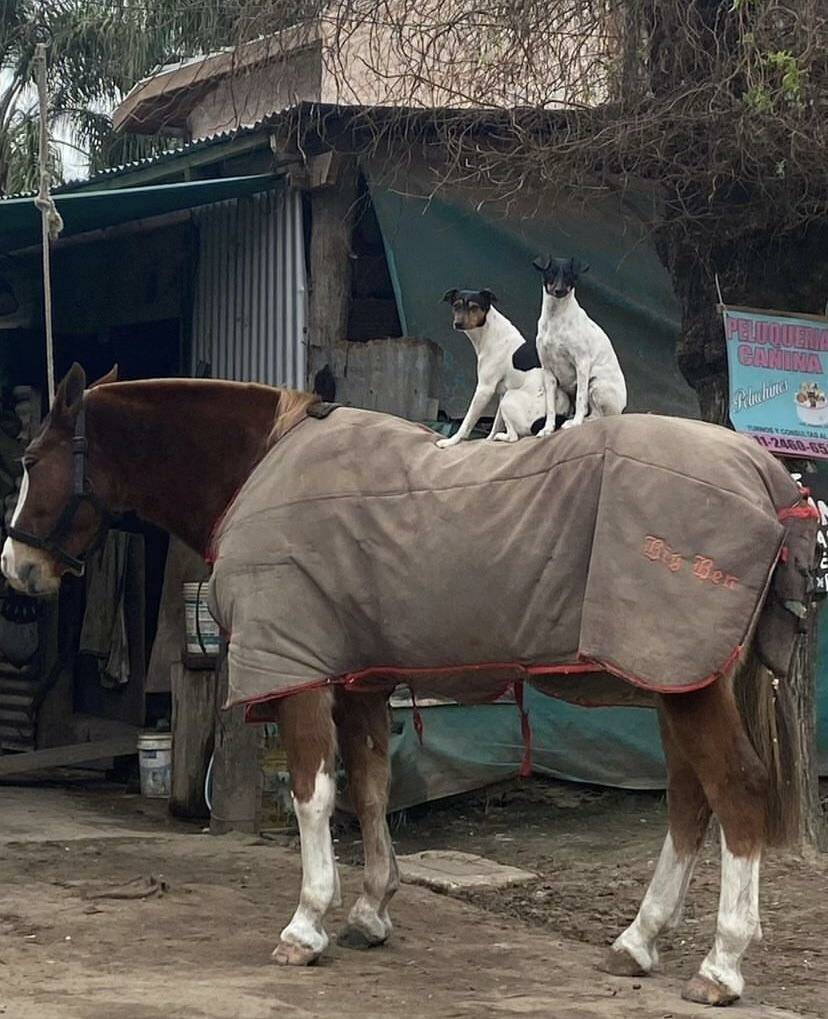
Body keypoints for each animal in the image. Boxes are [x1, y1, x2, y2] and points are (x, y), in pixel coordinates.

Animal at [0, 362, 814, 1006]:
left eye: (33, 457)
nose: (16, 571)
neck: (264, 464)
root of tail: (768, 474)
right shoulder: (362, 678)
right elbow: (369, 787)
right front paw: (370, 910)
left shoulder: (301, 673)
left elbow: (313, 793)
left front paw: (308, 923)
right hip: (677, 678)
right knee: (689, 800)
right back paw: (637, 942)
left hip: (686, 682)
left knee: (736, 790)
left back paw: (721, 964)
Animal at [433, 287, 570, 446]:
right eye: (456, 306)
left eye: (474, 307)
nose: (458, 323)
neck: (489, 332)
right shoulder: (501, 392)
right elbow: (496, 423)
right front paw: (488, 440)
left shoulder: (484, 390)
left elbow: (467, 422)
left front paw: (451, 441)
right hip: (506, 398)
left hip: (508, 399)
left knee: (514, 437)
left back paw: (501, 436)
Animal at [529, 256, 627, 436]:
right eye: (551, 272)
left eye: (569, 275)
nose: (559, 290)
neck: (556, 318)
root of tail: (622, 409)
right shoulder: (548, 371)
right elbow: (551, 407)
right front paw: (548, 428)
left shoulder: (582, 364)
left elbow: (581, 399)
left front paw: (575, 423)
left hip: (596, 385)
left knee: (597, 415)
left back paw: (577, 421)